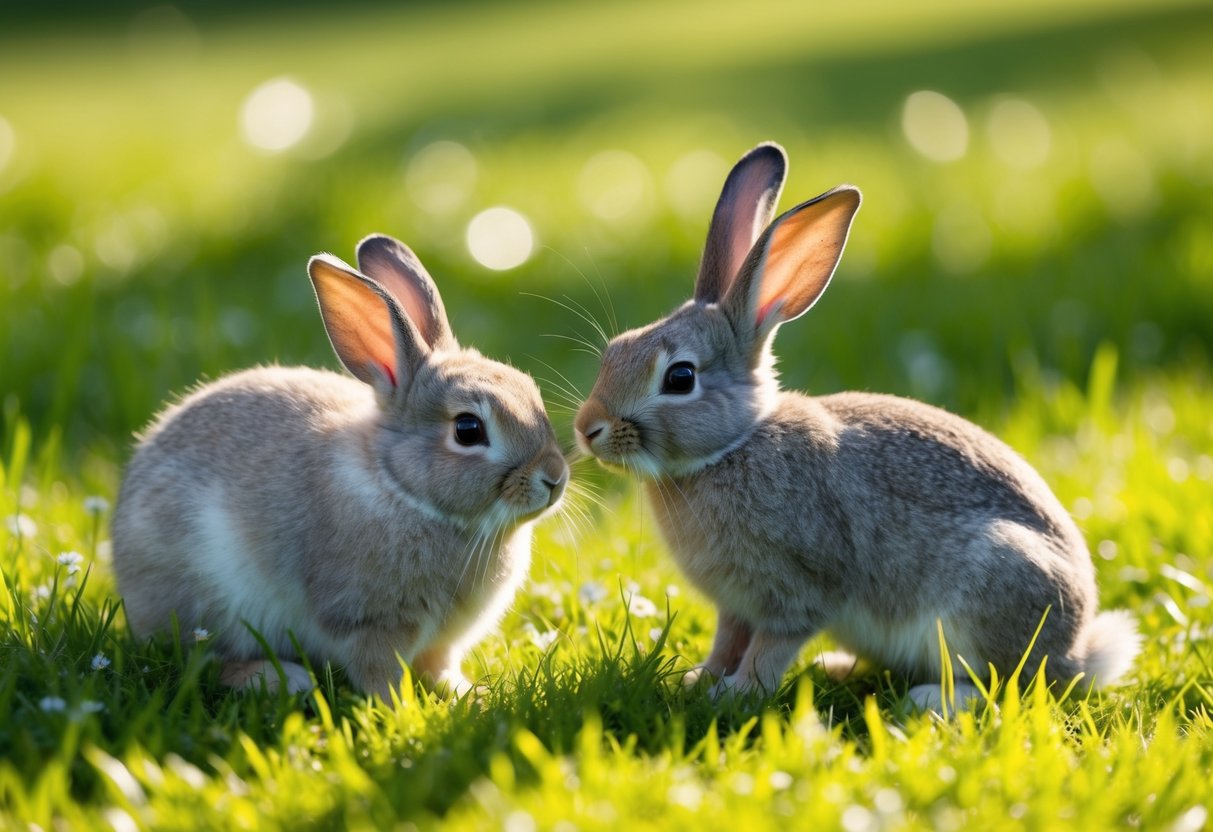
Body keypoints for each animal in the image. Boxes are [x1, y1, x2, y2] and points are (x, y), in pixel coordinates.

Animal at [112, 233, 569, 701]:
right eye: (468, 429)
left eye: (529, 388)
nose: (555, 478)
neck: (402, 489)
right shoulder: (368, 623)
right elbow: (378, 671)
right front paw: (399, 707)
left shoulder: (439, 642)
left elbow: (439, 665)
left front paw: (465, 695)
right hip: (205, 600)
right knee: (204, 659)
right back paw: (279, 678)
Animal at [574, 142, 1139, 710]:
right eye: (616, 348)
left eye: (680, 377)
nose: (586, 429)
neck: (733, 446)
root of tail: (1077, 654)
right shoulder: (736, 605)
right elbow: (727, 639)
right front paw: (701, 679)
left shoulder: (797, 592)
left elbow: (768, 649)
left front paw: (736, 694)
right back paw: (840, 666)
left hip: (991, 586)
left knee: (1005, 682)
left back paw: (929, 699)